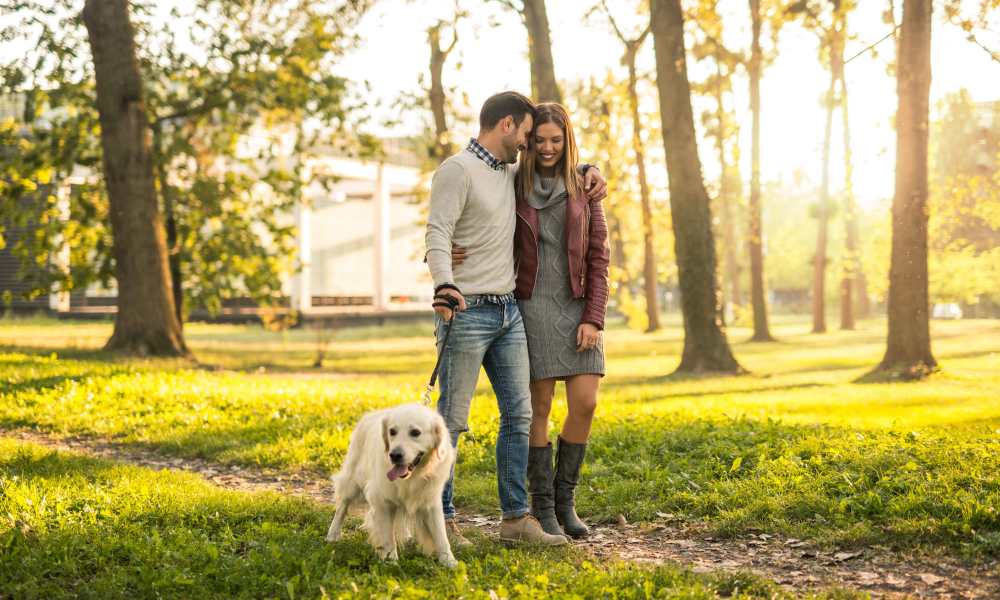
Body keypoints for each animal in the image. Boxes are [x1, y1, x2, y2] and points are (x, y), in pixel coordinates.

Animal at [324, 404, 458, 568]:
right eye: (392, 431)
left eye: (415, 433)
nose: (394, 455)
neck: (413, 476)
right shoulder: (382, 501)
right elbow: (388, 537)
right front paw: (390, 562)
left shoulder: (430, 501)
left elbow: (441, 536)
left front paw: (450, 562)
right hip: (353, 481)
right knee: (342, 507)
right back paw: (333, 534)